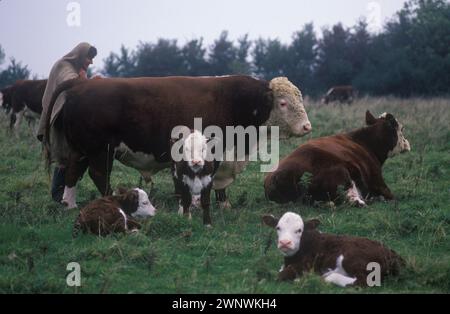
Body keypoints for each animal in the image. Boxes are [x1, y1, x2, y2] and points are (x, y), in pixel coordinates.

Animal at [45, 75, 312, 210]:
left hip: (82, 150)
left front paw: (223, 203)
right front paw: (196, 203)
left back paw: (69, 204)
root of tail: (82, 84)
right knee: (99, 175)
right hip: (100, 151)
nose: (307, 126)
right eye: (283, 103)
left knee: (72, 172)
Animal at [260, 211, 404, 288]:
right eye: (278, 228)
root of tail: (394, 255)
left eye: (299, 230)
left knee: (362, 281)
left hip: (352, 259)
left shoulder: (305, 265)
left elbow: (280, 275)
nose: (285, 242)